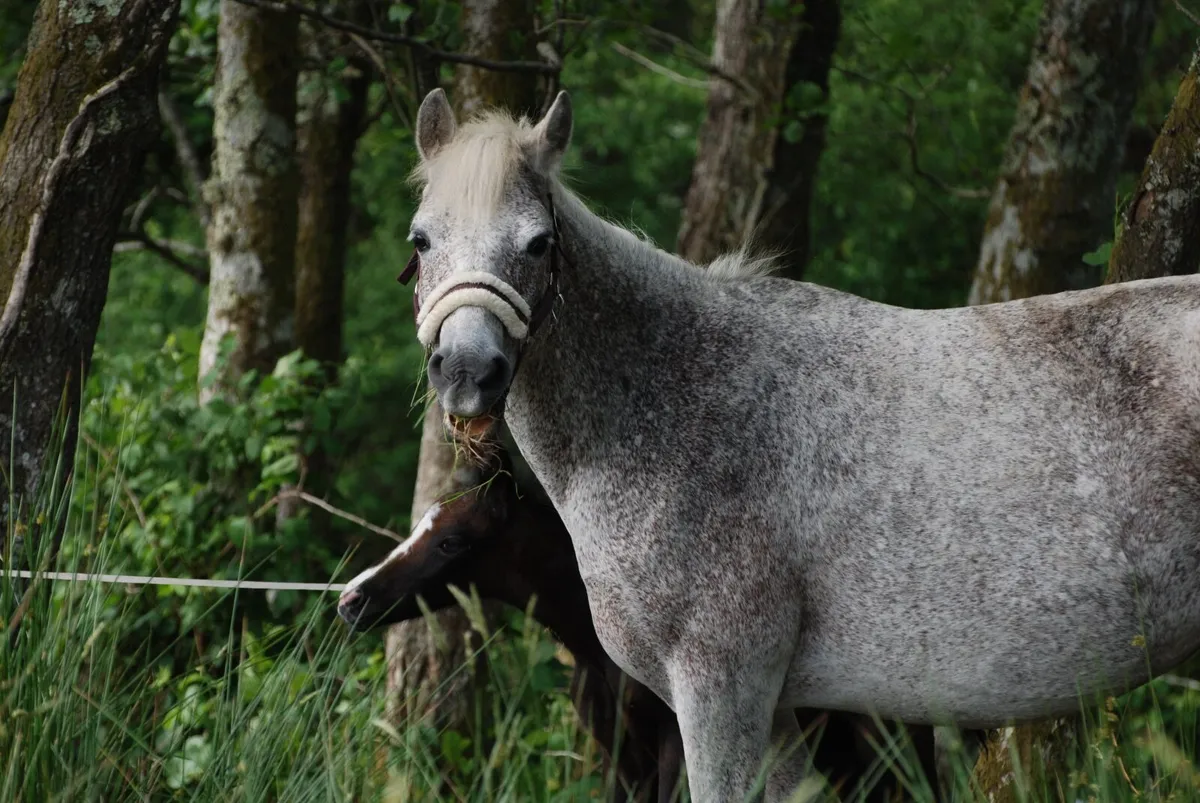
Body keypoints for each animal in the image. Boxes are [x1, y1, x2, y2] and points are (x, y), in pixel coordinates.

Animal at [337, 448, 941, 802]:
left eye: (452, 542)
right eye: (424, 523)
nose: (352, 600)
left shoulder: (678, 746)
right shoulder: (620, 756)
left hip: (890, 743)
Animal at [400, 87, 1200, 801]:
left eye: (538, 243)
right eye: (421, 238)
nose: (468, 371)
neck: (678, 395)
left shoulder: (721, 694)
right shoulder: (776, 713)